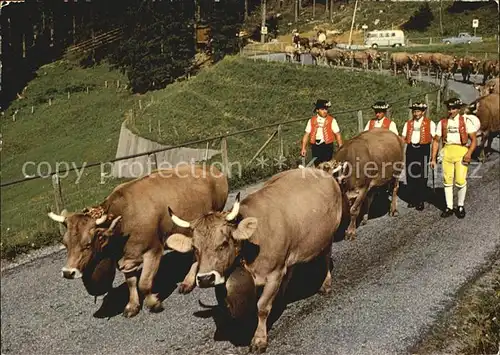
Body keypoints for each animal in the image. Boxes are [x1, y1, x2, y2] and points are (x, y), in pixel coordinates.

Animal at [47, 165, 229, 318]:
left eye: (88, 243)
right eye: (65, 243)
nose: (68, 272)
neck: (124, 219)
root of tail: (211, 169)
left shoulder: (153, 250)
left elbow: (144, 283)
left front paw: (154, 303)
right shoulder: (127, 258)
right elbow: (131, 282)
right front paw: (132, 305)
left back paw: (187, 282)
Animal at [167, 169, 344, 354]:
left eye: (224, 242)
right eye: (195, 248)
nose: (205, 279)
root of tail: (319, 171)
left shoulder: (274, 273)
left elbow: (262, 307)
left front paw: (259, 339)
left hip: (327, 237)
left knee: (326, 258)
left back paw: (325, 284)